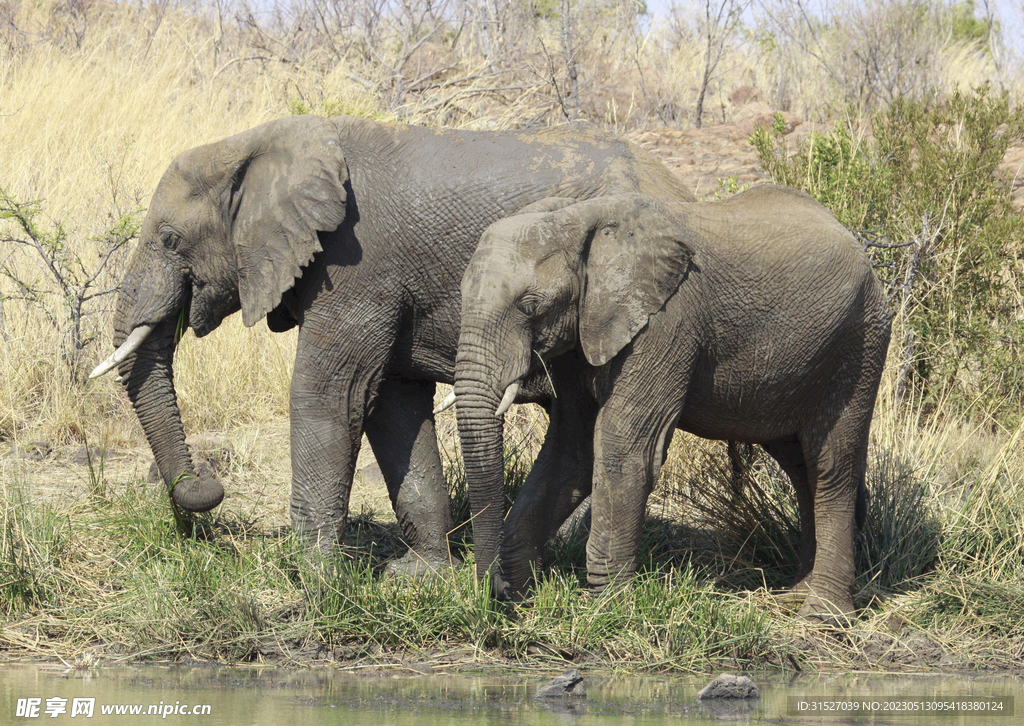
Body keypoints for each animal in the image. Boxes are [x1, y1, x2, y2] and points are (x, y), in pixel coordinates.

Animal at [92, 114, 696, 573]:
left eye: (171, 240)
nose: (203, 487)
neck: (257, 143)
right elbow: (392, 404)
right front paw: (420, 577)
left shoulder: (358, 265)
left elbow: (328, 393)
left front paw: (314, 579)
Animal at [452, 187, 892, 618]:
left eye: (530, 307)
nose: (495, 597)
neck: (577, 218)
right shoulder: (584, 330)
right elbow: (570, 451)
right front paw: (523, 596)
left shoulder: (666, 322)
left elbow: (623, 448)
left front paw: (609, 609)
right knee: (800, 465)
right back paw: (797, 593)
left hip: (858, 342)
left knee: (831, 465)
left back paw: (822, 614)